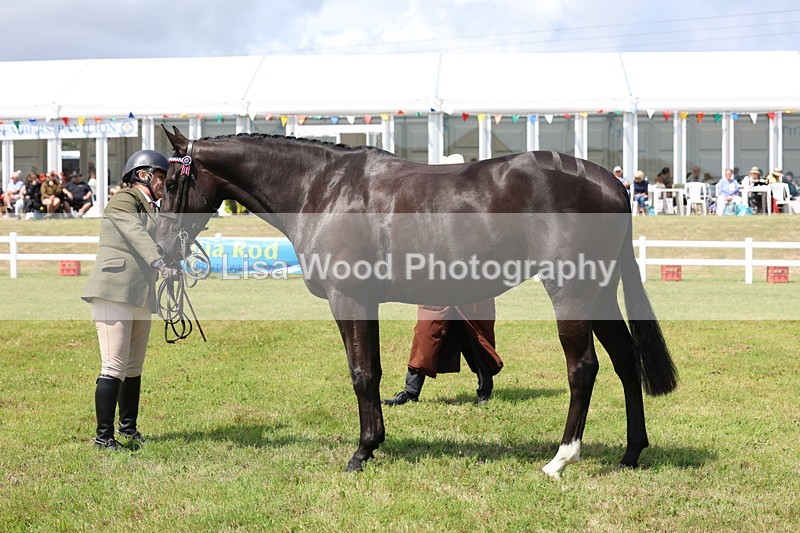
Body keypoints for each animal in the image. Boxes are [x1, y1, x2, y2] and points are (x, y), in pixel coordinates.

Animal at [156, 126, 677, 479]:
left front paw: (361, 452)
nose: (161, 244)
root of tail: (611, 183)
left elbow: (361, 374)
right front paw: (375, 442)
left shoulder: (349, 298)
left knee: (583, 368)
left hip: (571, 291)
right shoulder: (367, 303)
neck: (323, 189)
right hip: (600, 292)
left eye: (170, 185)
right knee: (625, 361)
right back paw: (631, 452)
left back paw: (561, 459)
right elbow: (373, 371)